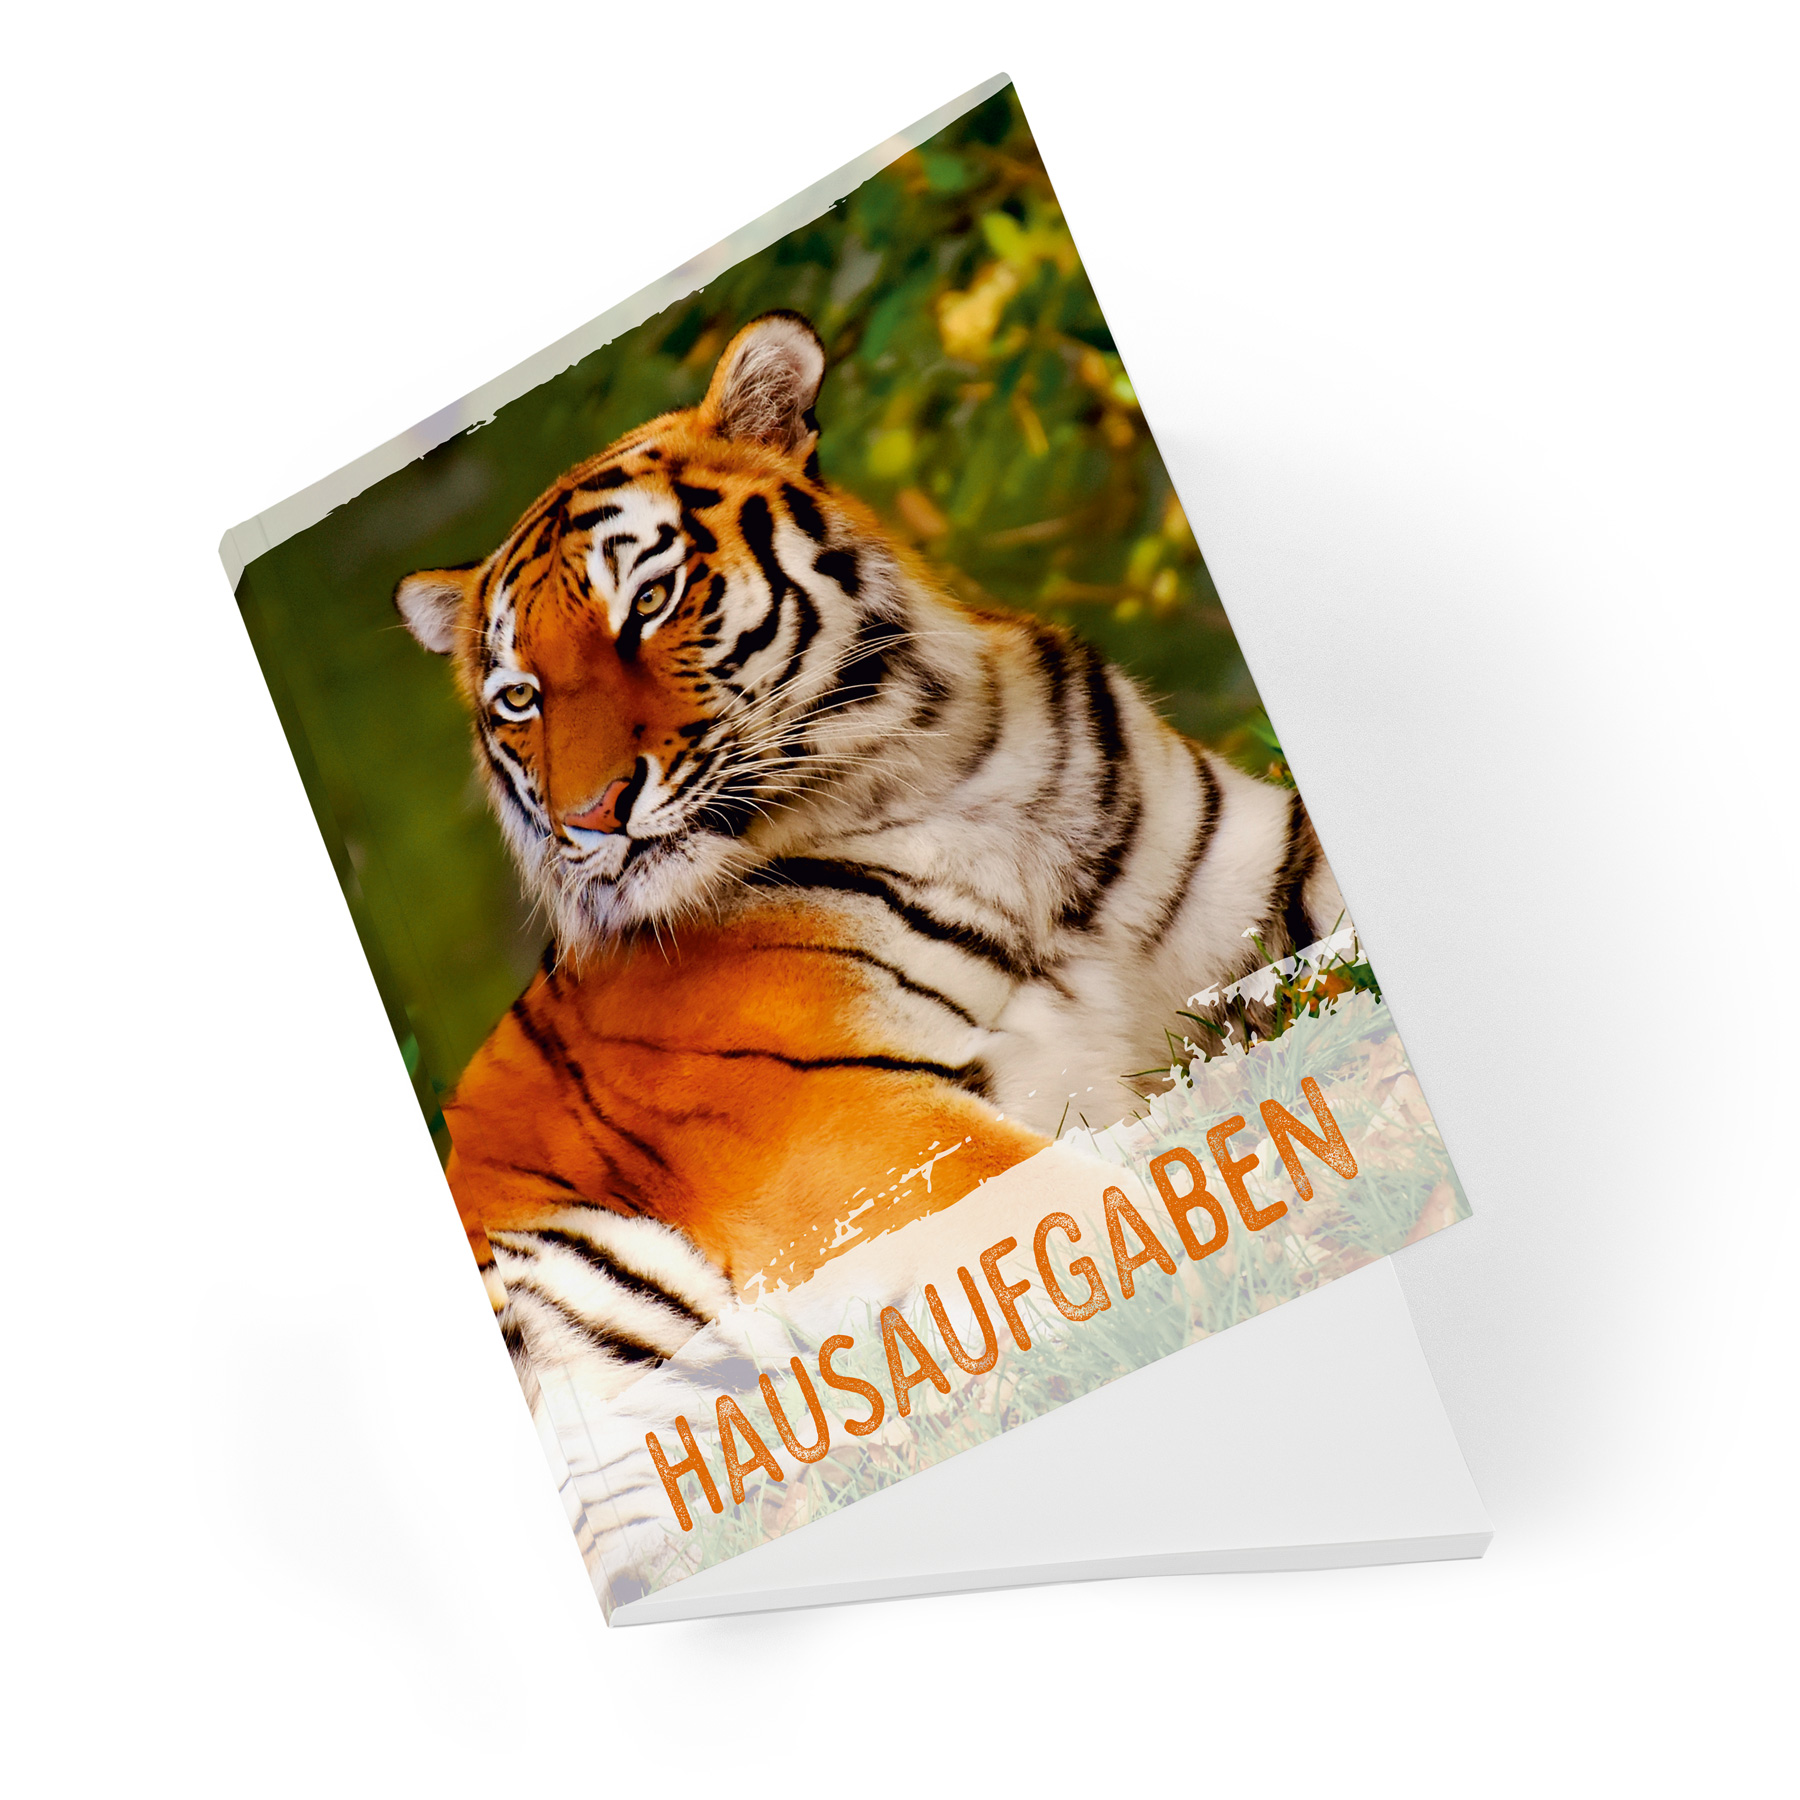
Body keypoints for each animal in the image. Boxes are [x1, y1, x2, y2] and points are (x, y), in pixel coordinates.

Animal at [396, 309, 1345, 1410]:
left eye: (653, 598)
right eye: (519, 698)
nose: (587, 817)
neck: (943, 770)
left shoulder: (1265, 878)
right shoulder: (840, 1117)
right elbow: (1084, 1202)